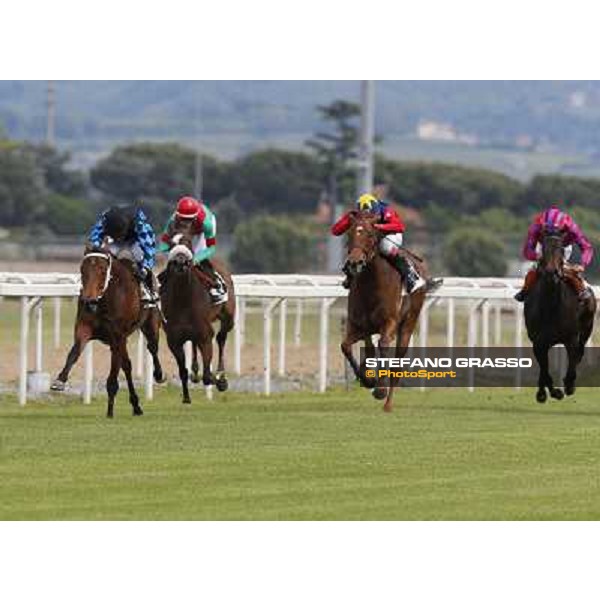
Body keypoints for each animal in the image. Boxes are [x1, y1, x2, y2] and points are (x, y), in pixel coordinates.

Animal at [50, 247, 164, 418]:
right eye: (82, 269)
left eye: (103, 270)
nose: (89, 301)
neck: (103, 302)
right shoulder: (85, 328)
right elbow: (74, 352)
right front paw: (60, 380)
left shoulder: (117, 336)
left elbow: (113, 374)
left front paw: (110, 411)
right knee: (127, 365)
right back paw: (136, 405)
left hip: (150, 324)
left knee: (152, 347)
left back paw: (158, 375)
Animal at [158, 234, 236, 404]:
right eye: (171, 244)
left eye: (187, 242)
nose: (180, 263)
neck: (184, 299)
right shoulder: (174, 340)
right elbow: (183, 371)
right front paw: (186, 397)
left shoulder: (205, 335)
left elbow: (207, 375)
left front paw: (215, 379)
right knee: (194, 344)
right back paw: (195, 373)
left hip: (228, 318)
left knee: (221, 338)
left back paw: (221, 377)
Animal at [340, 211, 434, 412]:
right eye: (349, 234)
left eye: (369, 235)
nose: (354, 262)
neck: (371, 285)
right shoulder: (357, 324)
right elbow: (346, 346)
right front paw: (367, 379)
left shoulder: (389, 322)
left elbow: (383, 345)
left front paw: (380, 390)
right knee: (368, 348)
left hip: (408, 324)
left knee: (397, 363)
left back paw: (388, 404)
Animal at [524, 230, 596, 404]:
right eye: (543, 248)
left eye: (561, 250)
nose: (552, 273)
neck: (551, 306)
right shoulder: (538, 341)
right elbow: (544, 369)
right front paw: (548, 393)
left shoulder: (571, 338)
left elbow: (572, 360)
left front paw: (568, 385)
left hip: (587, 328)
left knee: (580, 352)